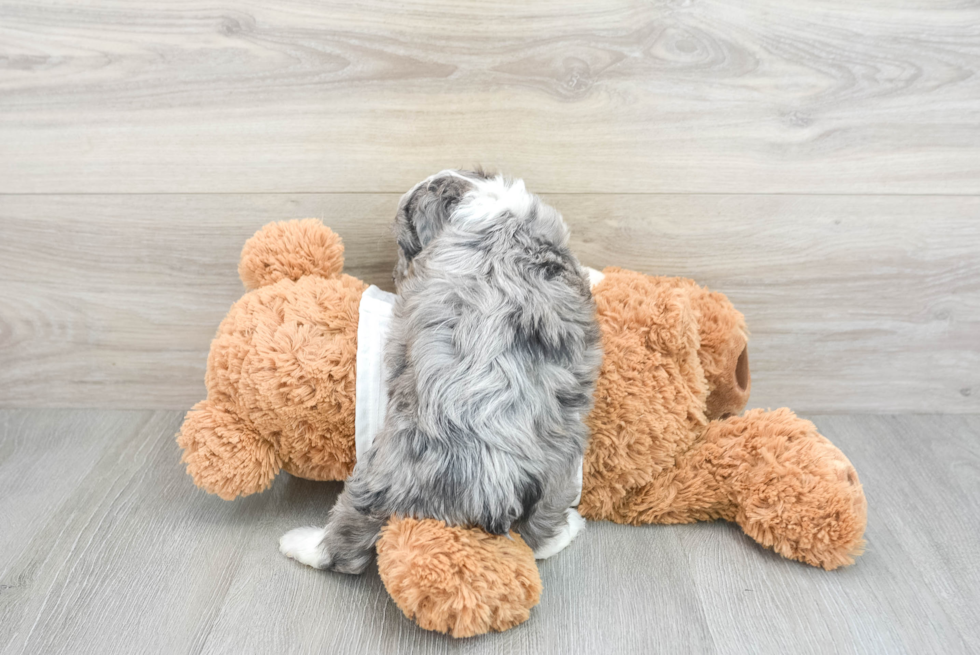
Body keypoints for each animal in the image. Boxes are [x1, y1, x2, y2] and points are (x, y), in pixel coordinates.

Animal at [280, 170, 600, 576]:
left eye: (403, 243)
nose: (396, 273)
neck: (480, 199)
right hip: (557, 464)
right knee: (538, 535)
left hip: (380, 474)